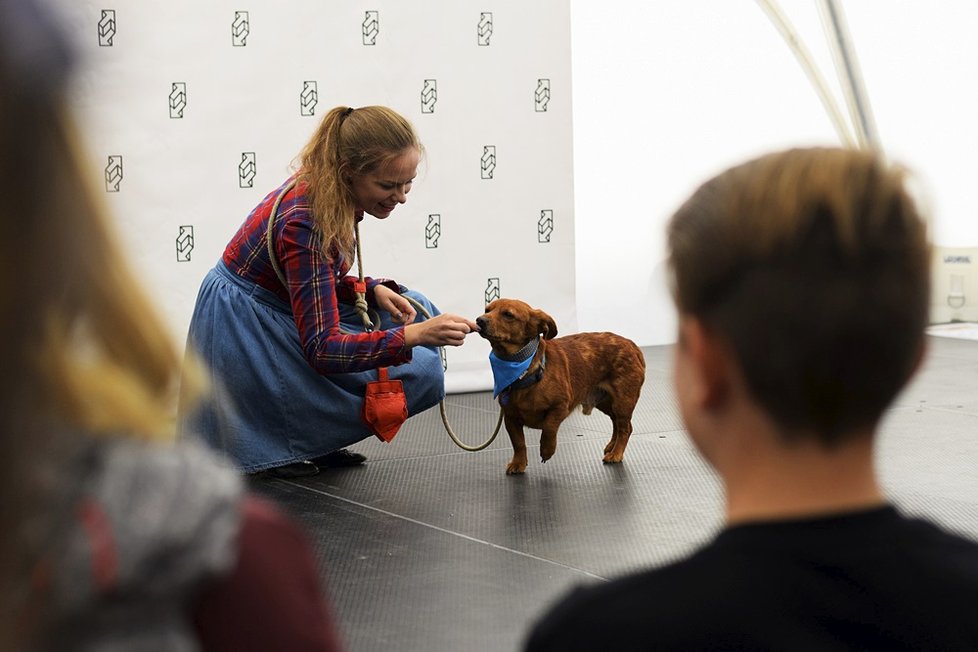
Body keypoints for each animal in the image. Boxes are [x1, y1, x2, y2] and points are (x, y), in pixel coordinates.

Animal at [474, 300, 644, 474]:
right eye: (487, 310)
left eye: (508, 314)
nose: (479, 320)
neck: (522, 369)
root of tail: (632, 345)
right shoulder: (510, 418)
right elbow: (519, 443)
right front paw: (518, 463)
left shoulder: (560, 407)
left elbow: (549, 428)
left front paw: (546, 450)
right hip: (606, 403)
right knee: (618, 423)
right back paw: (611, 446)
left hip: (622, 401)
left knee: (625, 428)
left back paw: (616, 453)